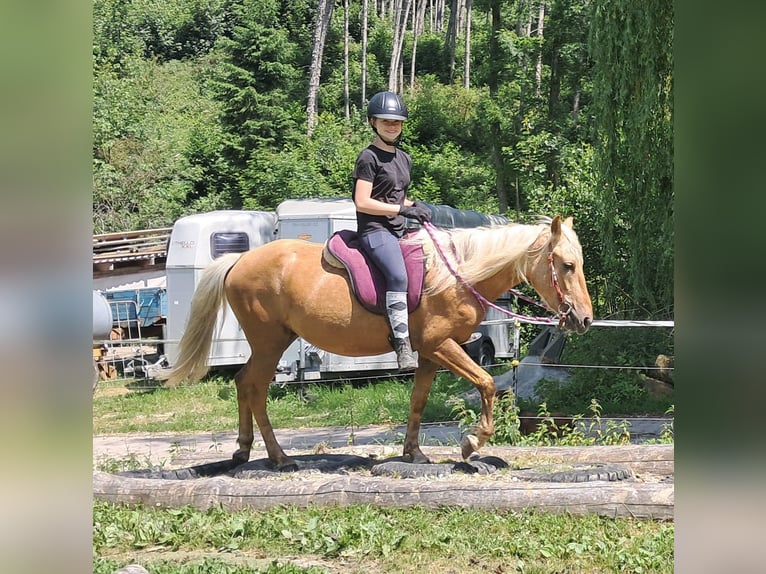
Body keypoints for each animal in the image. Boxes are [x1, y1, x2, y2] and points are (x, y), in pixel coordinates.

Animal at [160, 215, 593, 470]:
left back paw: (243, 450)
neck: (458, 274)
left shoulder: (430, 353)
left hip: (270, 342)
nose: (584, 318)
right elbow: (486, 383)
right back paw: (279, 458)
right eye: (567, 265)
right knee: (254, 388)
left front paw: (413, 453)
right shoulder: (441, 345)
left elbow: (418, 400)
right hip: (269, 343)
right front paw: (472, 443)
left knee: (242, 384)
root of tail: (239, 261)